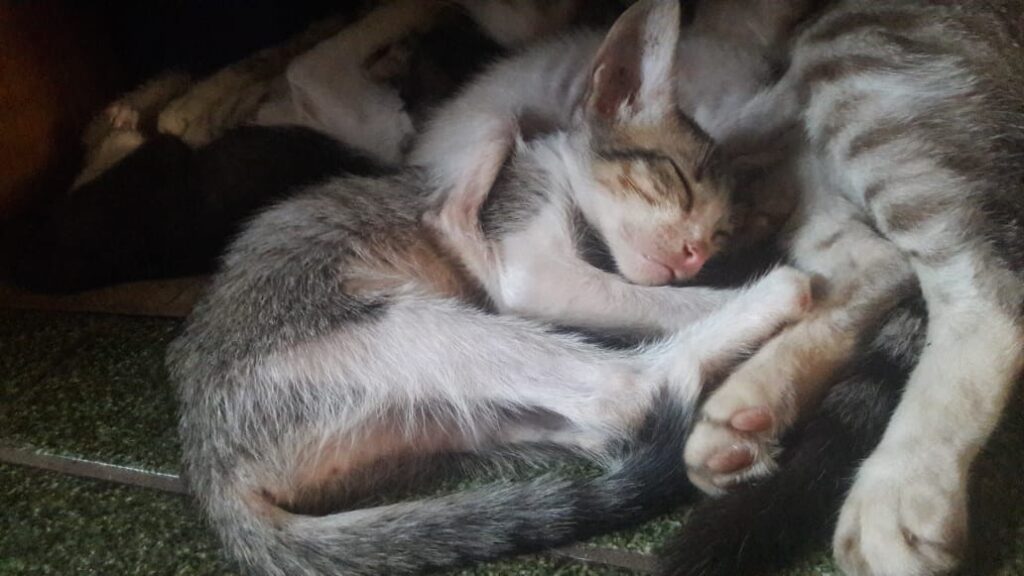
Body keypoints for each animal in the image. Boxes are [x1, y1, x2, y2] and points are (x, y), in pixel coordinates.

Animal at [169, 2, 815, 569]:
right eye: (676, 180)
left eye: (720, 233)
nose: (694, 254)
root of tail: (208, 470)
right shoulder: (526, 254)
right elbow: (656, 300)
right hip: (396, 327)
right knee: (628, 390)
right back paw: (775, 297)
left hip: (452, 417)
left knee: (605, 420)